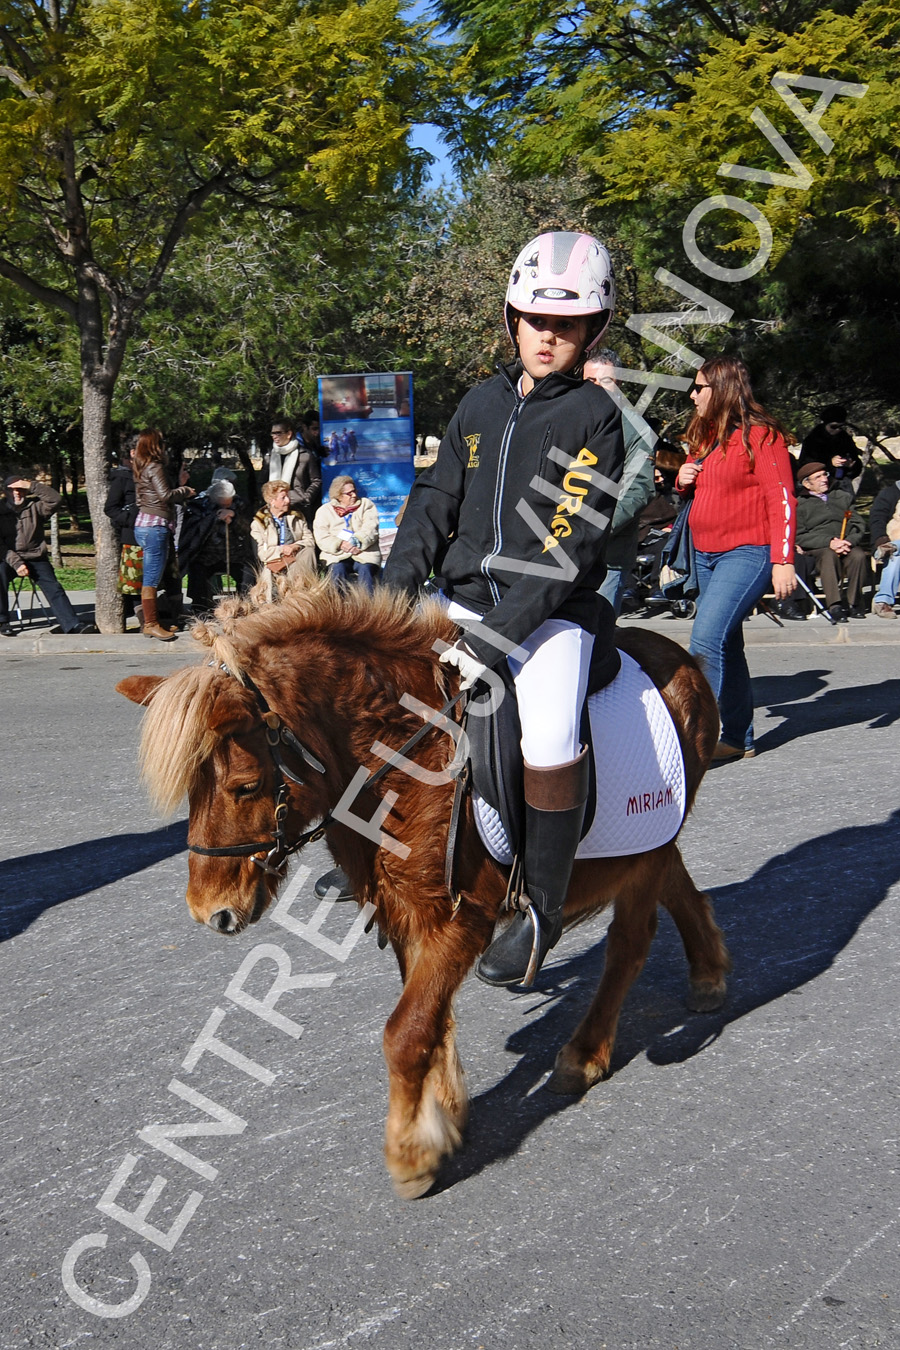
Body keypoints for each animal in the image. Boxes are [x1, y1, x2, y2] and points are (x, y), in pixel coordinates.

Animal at [118, 585, 734, 1198]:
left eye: (244, 786)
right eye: (191, 789)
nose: (210, 912)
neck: (400, 754)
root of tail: (686, 663)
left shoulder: (460, 921)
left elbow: (406, 1031)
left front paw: (411, 1153)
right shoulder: (405, 916)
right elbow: (431, 1023)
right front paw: (442, 1114)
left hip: (640, 858)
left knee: (630, 942)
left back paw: (584, 1053)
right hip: (647, 842)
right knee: (678, 888)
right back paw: (708, 973)